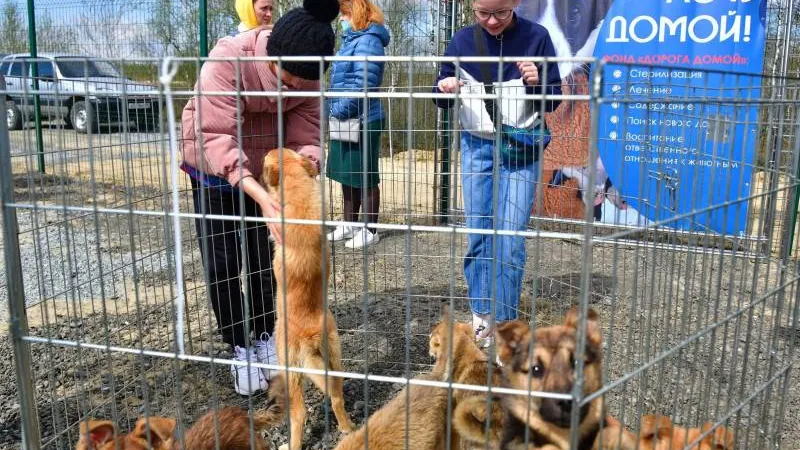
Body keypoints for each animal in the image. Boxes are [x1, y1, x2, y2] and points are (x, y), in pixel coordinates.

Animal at [260, 149, 354, 450]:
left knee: (300, 413)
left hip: (288, 365)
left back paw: (292, 443)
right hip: (334, 355)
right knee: (336, 396)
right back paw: (347, 427)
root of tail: (309, 333)